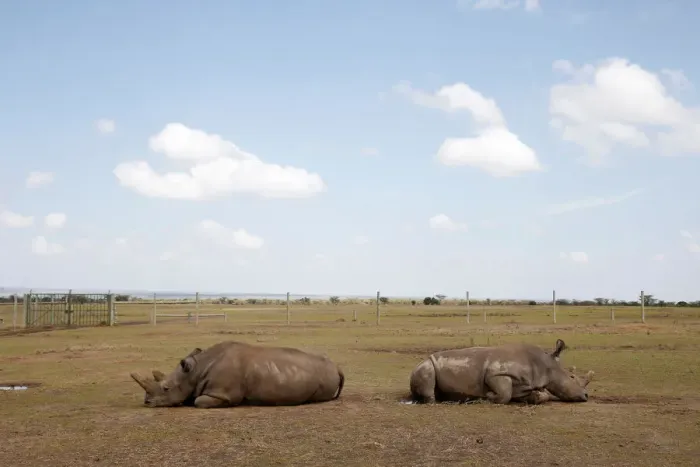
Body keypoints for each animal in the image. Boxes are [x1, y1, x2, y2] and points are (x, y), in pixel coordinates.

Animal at [130, 340, 345, 408]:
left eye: (166, 388)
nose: (147, 402)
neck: (195, 371)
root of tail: (337, 366)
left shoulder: (223, 393)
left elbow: (199, 401)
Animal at [409, 338, 593, 405]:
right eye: (572, 376)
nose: (586, 396)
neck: (544, 364)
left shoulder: (525, 384)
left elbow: (542, 396)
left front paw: (535, 397)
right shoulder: (496, 373)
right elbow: (504, 394)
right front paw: (487, 397)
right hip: (425, 365)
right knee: (428, 377)